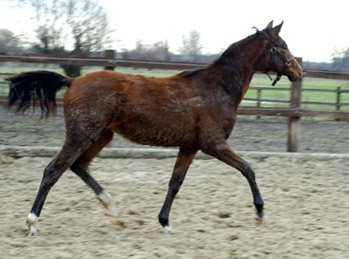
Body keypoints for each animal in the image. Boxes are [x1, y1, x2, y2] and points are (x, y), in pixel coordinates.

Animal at [7, 21, 302, 237]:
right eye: (283, 46)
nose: (299, 72)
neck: (218, 87)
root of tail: (72, 81)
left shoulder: (190, 146)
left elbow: (175, 183)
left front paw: (165, 222)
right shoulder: (213, 144)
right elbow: (248, 169)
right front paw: (259, 213)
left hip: (101, 135)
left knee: (79, 166)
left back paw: (111, 208)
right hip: (82, 135)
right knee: (54, 169)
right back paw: (33, 221)